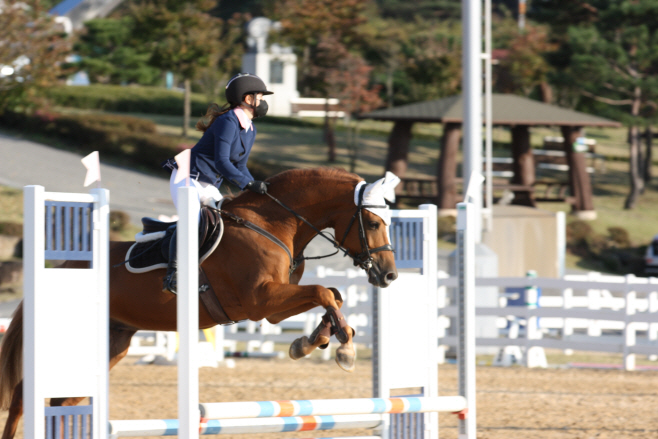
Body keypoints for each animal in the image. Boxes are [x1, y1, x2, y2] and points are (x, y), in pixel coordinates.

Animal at [0, 167, 398, 438]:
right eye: (373, 222)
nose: (389, 275)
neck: (271, 223)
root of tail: (60, 269)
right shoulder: (260, 300)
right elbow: (324, 292)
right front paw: (341, 347)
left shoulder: (270, 310)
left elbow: (332, 295)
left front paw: (316, 340)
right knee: (22, 397)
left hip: (109, 345)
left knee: (62, 402)